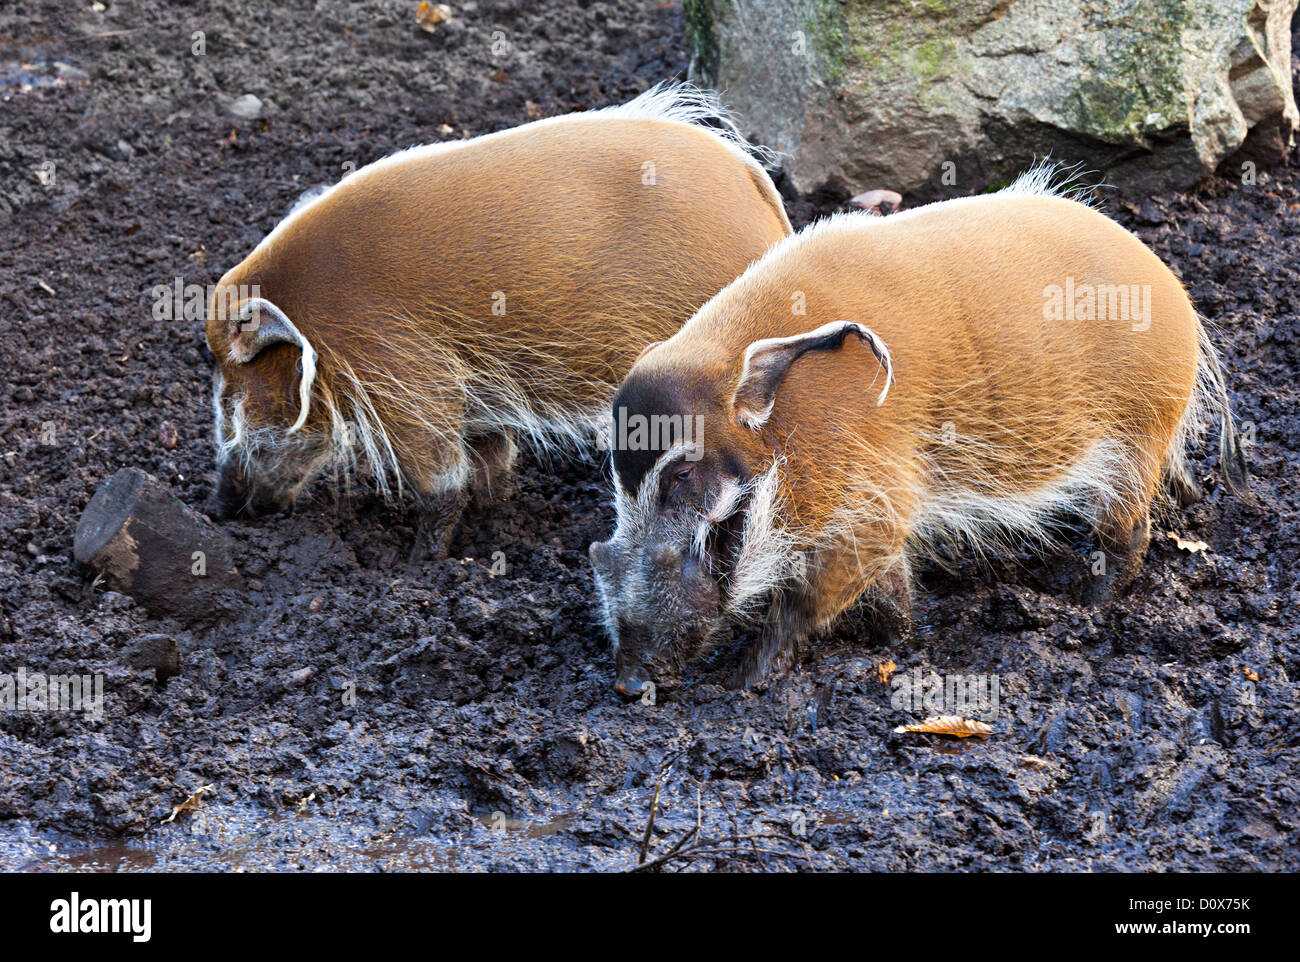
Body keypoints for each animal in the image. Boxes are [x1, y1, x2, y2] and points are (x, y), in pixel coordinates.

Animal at [204, 84, 791, 557]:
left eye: (232, 387)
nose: (220, 504)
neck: (310, 311)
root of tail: (769, 208)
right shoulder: (476, 392)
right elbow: (491, 462)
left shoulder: (402, 375)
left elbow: (441, 482)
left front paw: (418, 567)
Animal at [590, 168, 1251, 695]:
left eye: (682, 471)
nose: (628, 683)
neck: (786, 429)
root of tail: (1179, 297)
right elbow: (892, 588)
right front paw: (900, 642)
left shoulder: (871, 500)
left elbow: (809, 597)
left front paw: (743, 679)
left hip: (1134, 438)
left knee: (1130, 532)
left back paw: (1088, 607)